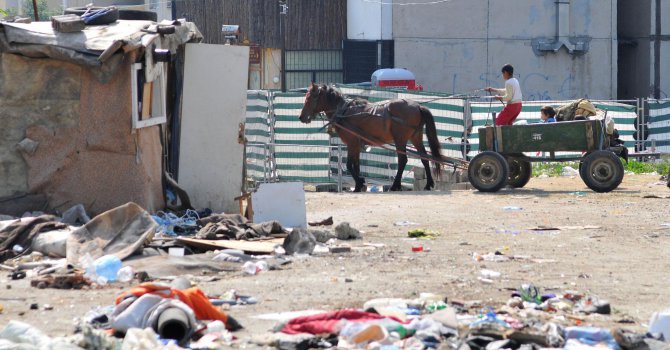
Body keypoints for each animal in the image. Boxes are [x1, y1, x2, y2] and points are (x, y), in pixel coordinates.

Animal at [298, 83, 444, 193]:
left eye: (310, 98)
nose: (301, 117)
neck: (344, 112)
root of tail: (418, 106)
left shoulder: (351, 142)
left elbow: (349, 165)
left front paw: (359, 183)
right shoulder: (356, 144)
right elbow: (356, 165)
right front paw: (359, 184)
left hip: (400, 139)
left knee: (403, 160)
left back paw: (395, 185)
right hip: (415, 137)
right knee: (424, 157)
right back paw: (428, 184)